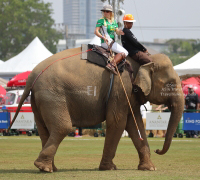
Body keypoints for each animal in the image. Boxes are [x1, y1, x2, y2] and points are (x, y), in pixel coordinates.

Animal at [9, 47, 184, 172]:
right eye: (170, 84)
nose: (157, 149)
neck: (144, 59)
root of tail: (32, 76)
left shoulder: (128, 94)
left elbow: (135, 126)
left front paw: (149, 168)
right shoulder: (121, 88)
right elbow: (118, 122)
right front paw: (109, 168)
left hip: (39, 100)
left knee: (44, 129)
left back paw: (49, 168)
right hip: (52, 95)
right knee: (62, 127)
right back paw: (44, 167)